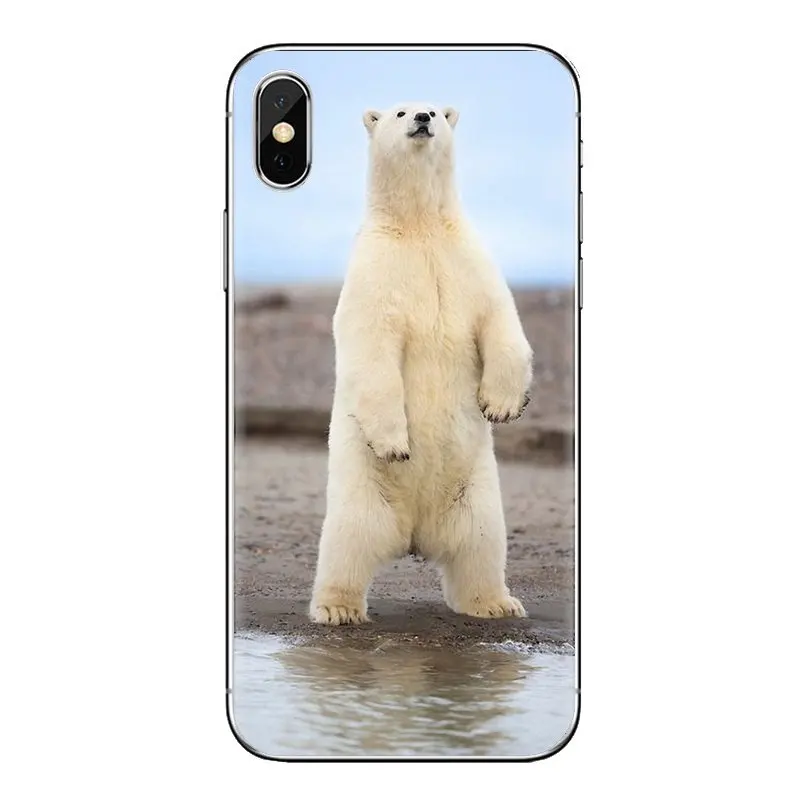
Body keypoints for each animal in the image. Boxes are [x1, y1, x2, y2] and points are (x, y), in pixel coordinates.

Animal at [309, 102, 534, 625]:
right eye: (399, 111)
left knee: (480, 545)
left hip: (475, 492)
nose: (425, 118)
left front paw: (501, 406)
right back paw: (337, 608)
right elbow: (373, 350)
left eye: (432, 106)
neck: (419, 227)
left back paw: (497, 603)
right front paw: (396, 444)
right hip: (361, 489)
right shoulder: (376, 275)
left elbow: (500, 319)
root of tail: (414, 536)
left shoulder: (468, 261)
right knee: (348, 542)